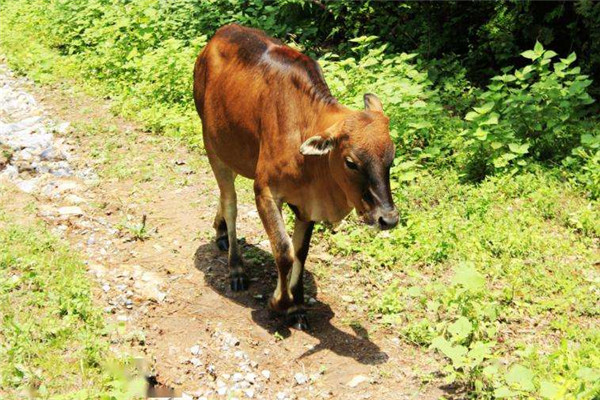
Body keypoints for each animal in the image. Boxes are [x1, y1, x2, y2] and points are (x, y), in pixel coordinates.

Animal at [193, 25, 398, 332]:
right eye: (351, 162)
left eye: (391, 159)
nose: (388, 219)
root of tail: (217, 37)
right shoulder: (265, 191)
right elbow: (283, 250)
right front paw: (279, 302)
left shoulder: (307, 203)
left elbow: (300, 252)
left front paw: (297, 306)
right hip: (213, 145)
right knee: (230, 202)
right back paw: (236, 268)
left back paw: (219, 231)